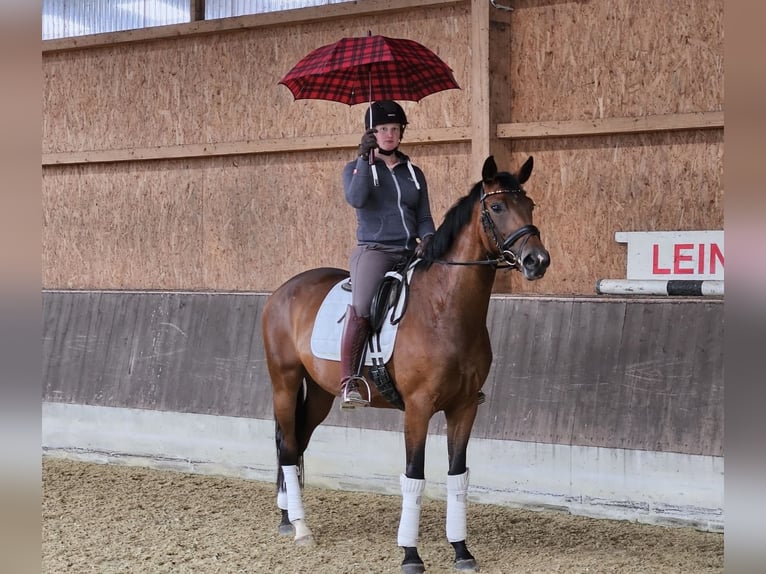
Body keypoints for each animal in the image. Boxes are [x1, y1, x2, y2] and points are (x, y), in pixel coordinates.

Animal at [264, 155, 552, 572]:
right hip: (284, 383)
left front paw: (461, 551)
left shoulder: (464, 408)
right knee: (287, 448)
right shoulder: (418, 409)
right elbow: (413, 476)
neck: (444, 310)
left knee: (297, 442)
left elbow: (457, 475)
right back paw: (301, 528)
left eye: (529, 205)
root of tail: (283, 291)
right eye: (497, 207)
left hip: (319, 393)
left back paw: (288, 517)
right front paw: (411, 555)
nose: (537, 261)